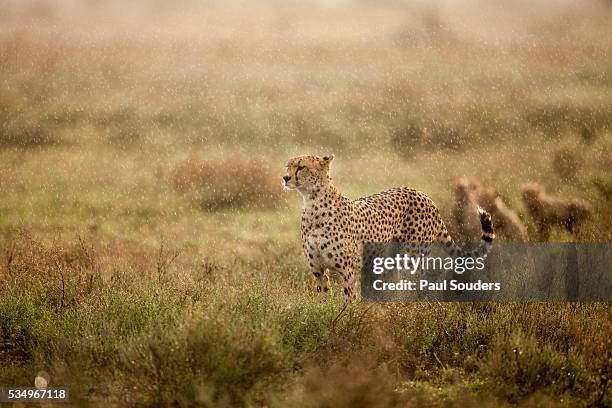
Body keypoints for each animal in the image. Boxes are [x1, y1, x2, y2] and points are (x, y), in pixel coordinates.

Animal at [284, 155, 494, 298]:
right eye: (288, 166)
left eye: (301, 167)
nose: (285, 178)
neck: (312, 203)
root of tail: (422, 194)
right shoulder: (318, 270)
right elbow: (323, 298)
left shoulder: (348, 270)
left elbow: (348, 300)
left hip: (412, 259)